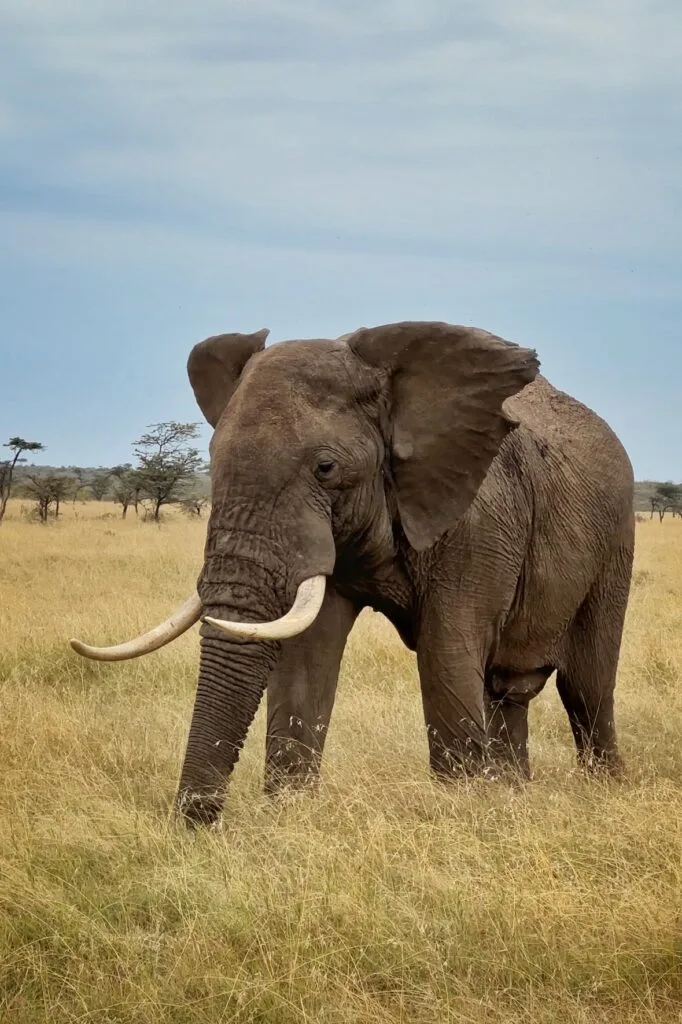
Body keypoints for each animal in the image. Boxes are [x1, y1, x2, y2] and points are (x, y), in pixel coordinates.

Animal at [70, 321, 635, 827]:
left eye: (325, 468)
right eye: (210, 460)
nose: (197, 822)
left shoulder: (479, 520)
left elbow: (448, 656)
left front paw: (464, 815)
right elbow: (307, 658)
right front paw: (292, 816)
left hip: (615, 540)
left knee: (586, 687)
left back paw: (603, 791)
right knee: (506, 692)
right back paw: (517, 795)